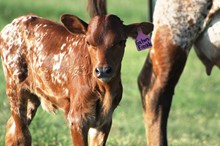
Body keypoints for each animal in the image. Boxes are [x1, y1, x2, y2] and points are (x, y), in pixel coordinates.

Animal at [0, 14, 153, 146]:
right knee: (22, 136)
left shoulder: (104, 121)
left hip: (32, 96)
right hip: (14, 87)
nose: (103, 70)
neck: (103, 91)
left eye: (121, 41)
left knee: (11, 128)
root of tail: (12, 24)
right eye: (88, 42)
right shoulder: (77, 118)